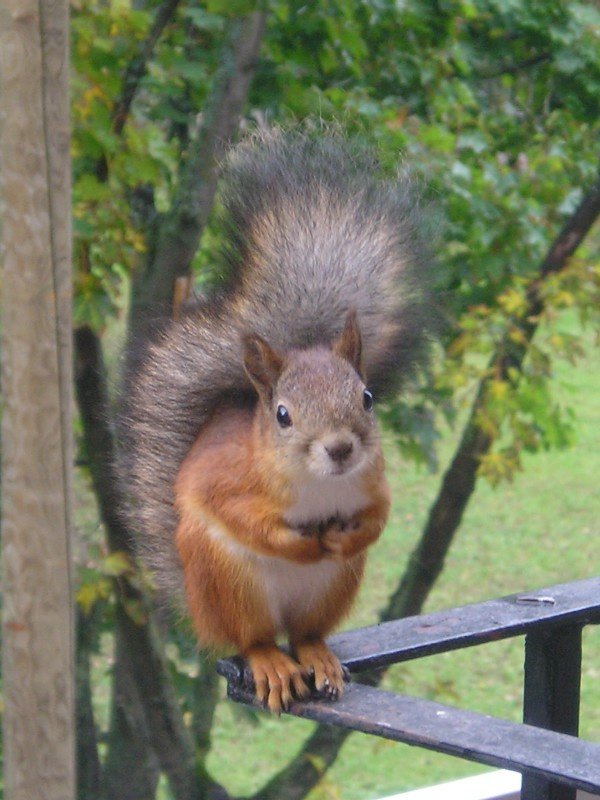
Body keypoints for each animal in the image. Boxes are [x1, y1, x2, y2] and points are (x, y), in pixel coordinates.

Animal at [118, 129, 431, 714]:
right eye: (282, 415)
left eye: (367, 397)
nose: (339, 448)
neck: (316, 483)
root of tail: (200, 611)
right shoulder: (224, 477)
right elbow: (236, 512)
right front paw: (299, 544)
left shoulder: (371, 482)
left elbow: (379, 514)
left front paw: (347, 536)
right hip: (228, 583)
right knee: (255, 638)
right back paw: (269, 662)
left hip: (331, 590)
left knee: (304, 633)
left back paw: (316, 654)